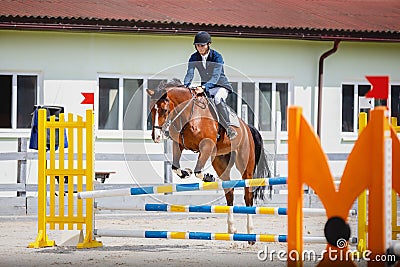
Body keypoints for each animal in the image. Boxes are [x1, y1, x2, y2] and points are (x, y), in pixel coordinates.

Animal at [147, 79, 272, 243]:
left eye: (164, 110)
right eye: (152, 110)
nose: (156, 137)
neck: (189, 114)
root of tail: (247, 127)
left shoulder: (207, 145)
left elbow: (198, 171)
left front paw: (208, 177)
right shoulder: (179, 145)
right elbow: (175, 167)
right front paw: (186, 173)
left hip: (245, 164)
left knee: (248, 196)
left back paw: (250, 234)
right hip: (220, 161)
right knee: (229, 193)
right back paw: (232, 229)